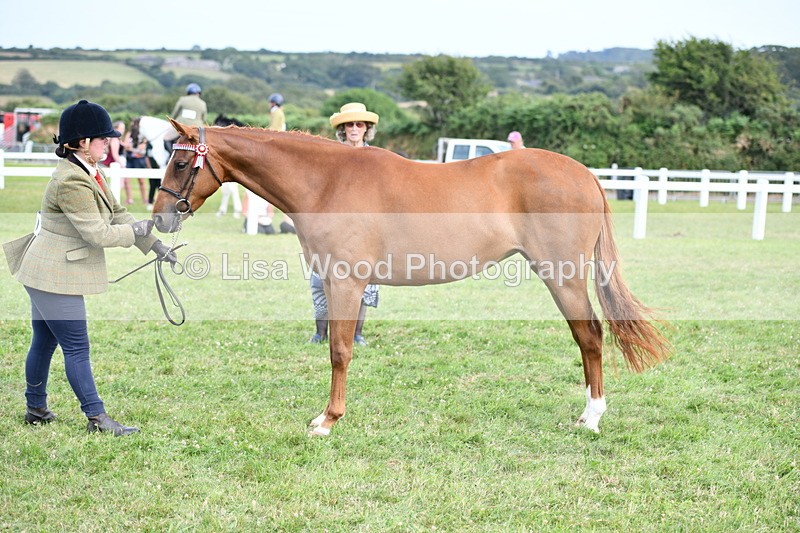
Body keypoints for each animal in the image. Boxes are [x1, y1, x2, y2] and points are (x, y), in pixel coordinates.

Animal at [153, 119, 671, 436]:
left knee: (590, 336)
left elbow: (339, 351)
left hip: (563, 276)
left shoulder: (346, 281)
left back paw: (591, 417)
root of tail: (584, 173)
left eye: (179, 162)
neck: (327, 182)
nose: (159, 218)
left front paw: (328, 420)